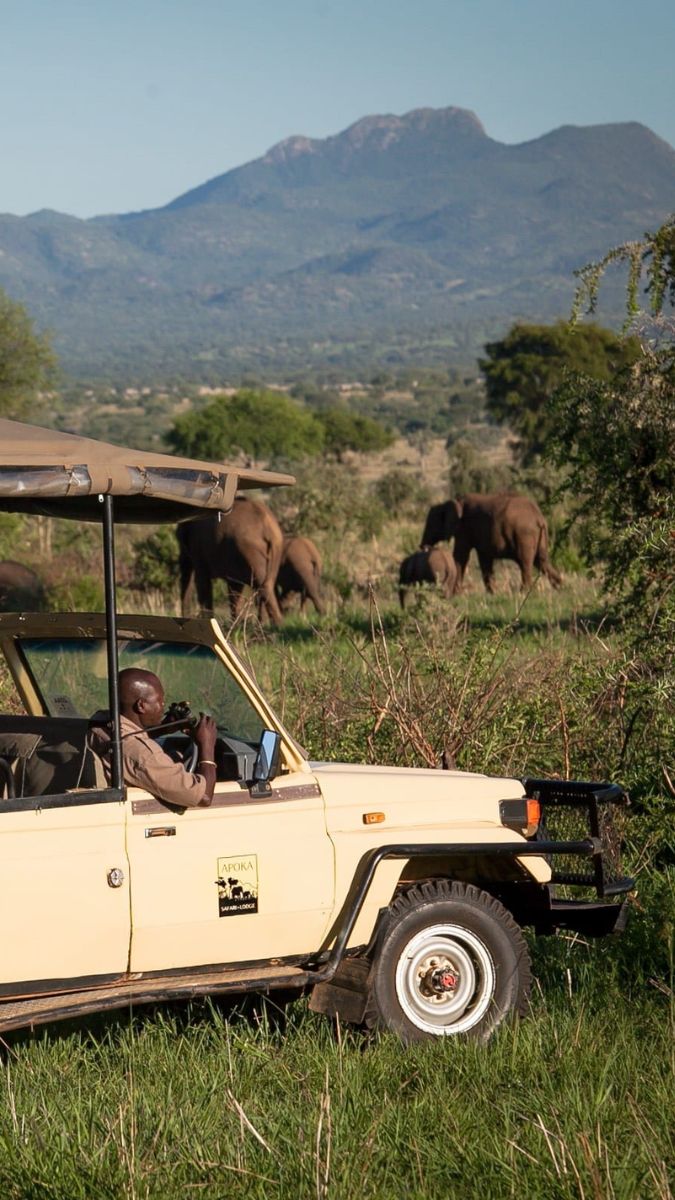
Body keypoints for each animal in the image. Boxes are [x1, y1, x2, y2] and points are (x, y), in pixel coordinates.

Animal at [176, 496, 284, 625]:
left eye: (179, 539)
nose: (184, 618)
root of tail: (268, 527)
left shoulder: (198, 548)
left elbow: (202, 581)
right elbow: (234, 587)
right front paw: (236, 624)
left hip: (250, 549)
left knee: (263, 586)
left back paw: (277, 625)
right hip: (272, 551)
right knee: (265, 584)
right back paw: (262, 624)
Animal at [421, 493, 563, 593]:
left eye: (431, 525)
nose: (423, 547)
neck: (447, 503)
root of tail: (539, 518)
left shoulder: (464, 529)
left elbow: (461, 556)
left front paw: (455, 593)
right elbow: (484, 559)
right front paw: (492, 593)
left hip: (524, 534)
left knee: (525, 562)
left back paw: (523, 592)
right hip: (538, 536)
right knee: (542, 561)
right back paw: (560, 587)